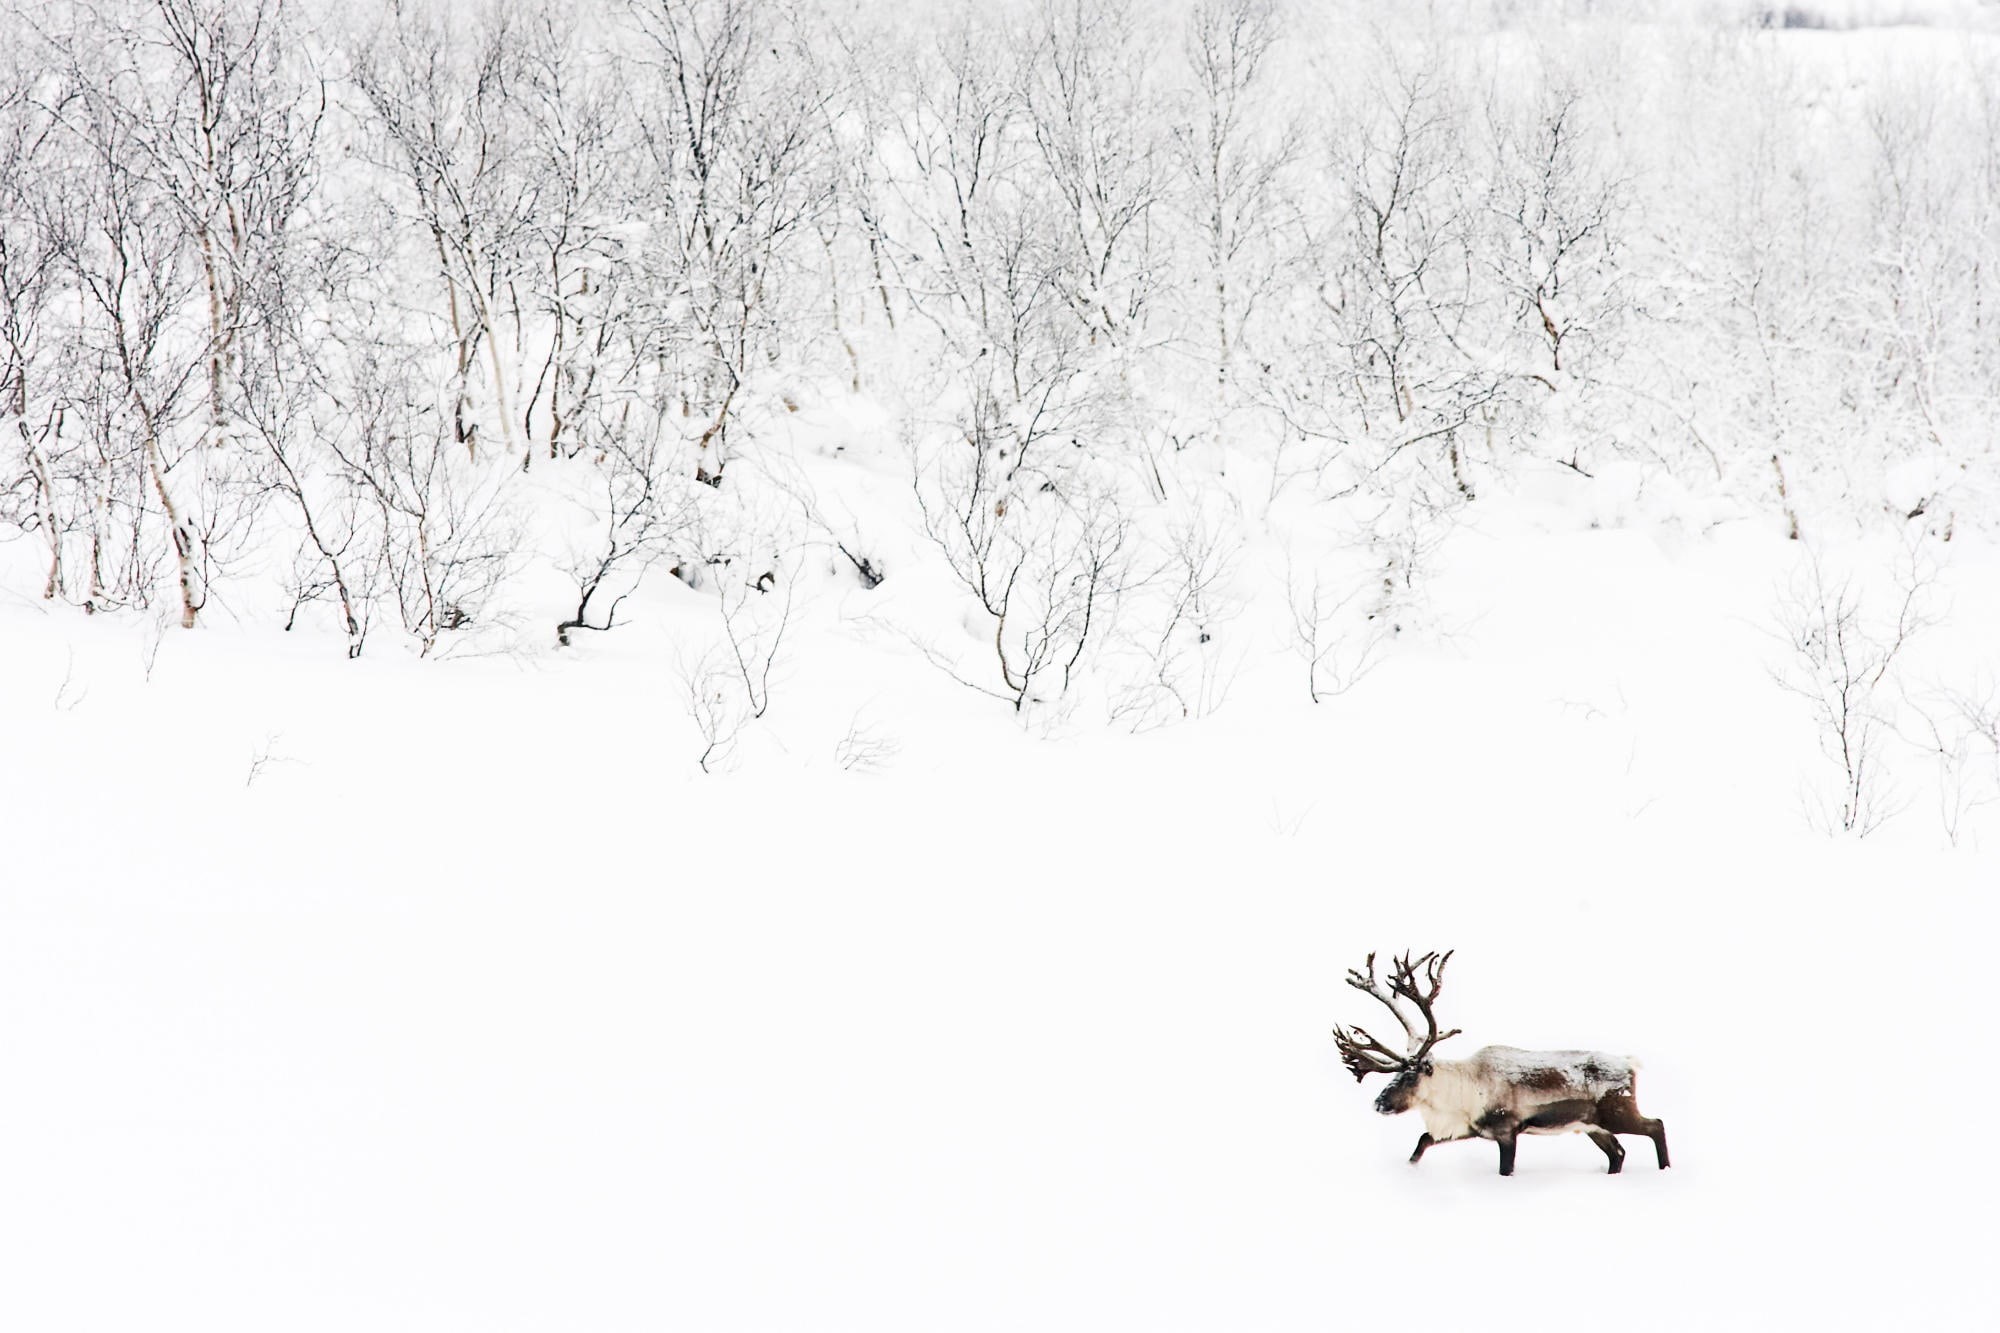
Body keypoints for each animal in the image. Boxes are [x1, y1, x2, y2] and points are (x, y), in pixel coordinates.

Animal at [1331, 950, 1669, 1176]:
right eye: (1396, 1074)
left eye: (1410, 1077)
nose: (1379, 1103)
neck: (1462, 1089)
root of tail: (1630, 1064)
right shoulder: (1469, 1127)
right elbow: (1423, 1141)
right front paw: (1409, 1168)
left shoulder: (1507, 1130)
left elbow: (1505, 1168)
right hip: (1591, 1125)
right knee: (1618, 1153)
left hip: (1618, 1113)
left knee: (1656, 1125)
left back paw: (1664, 1169)